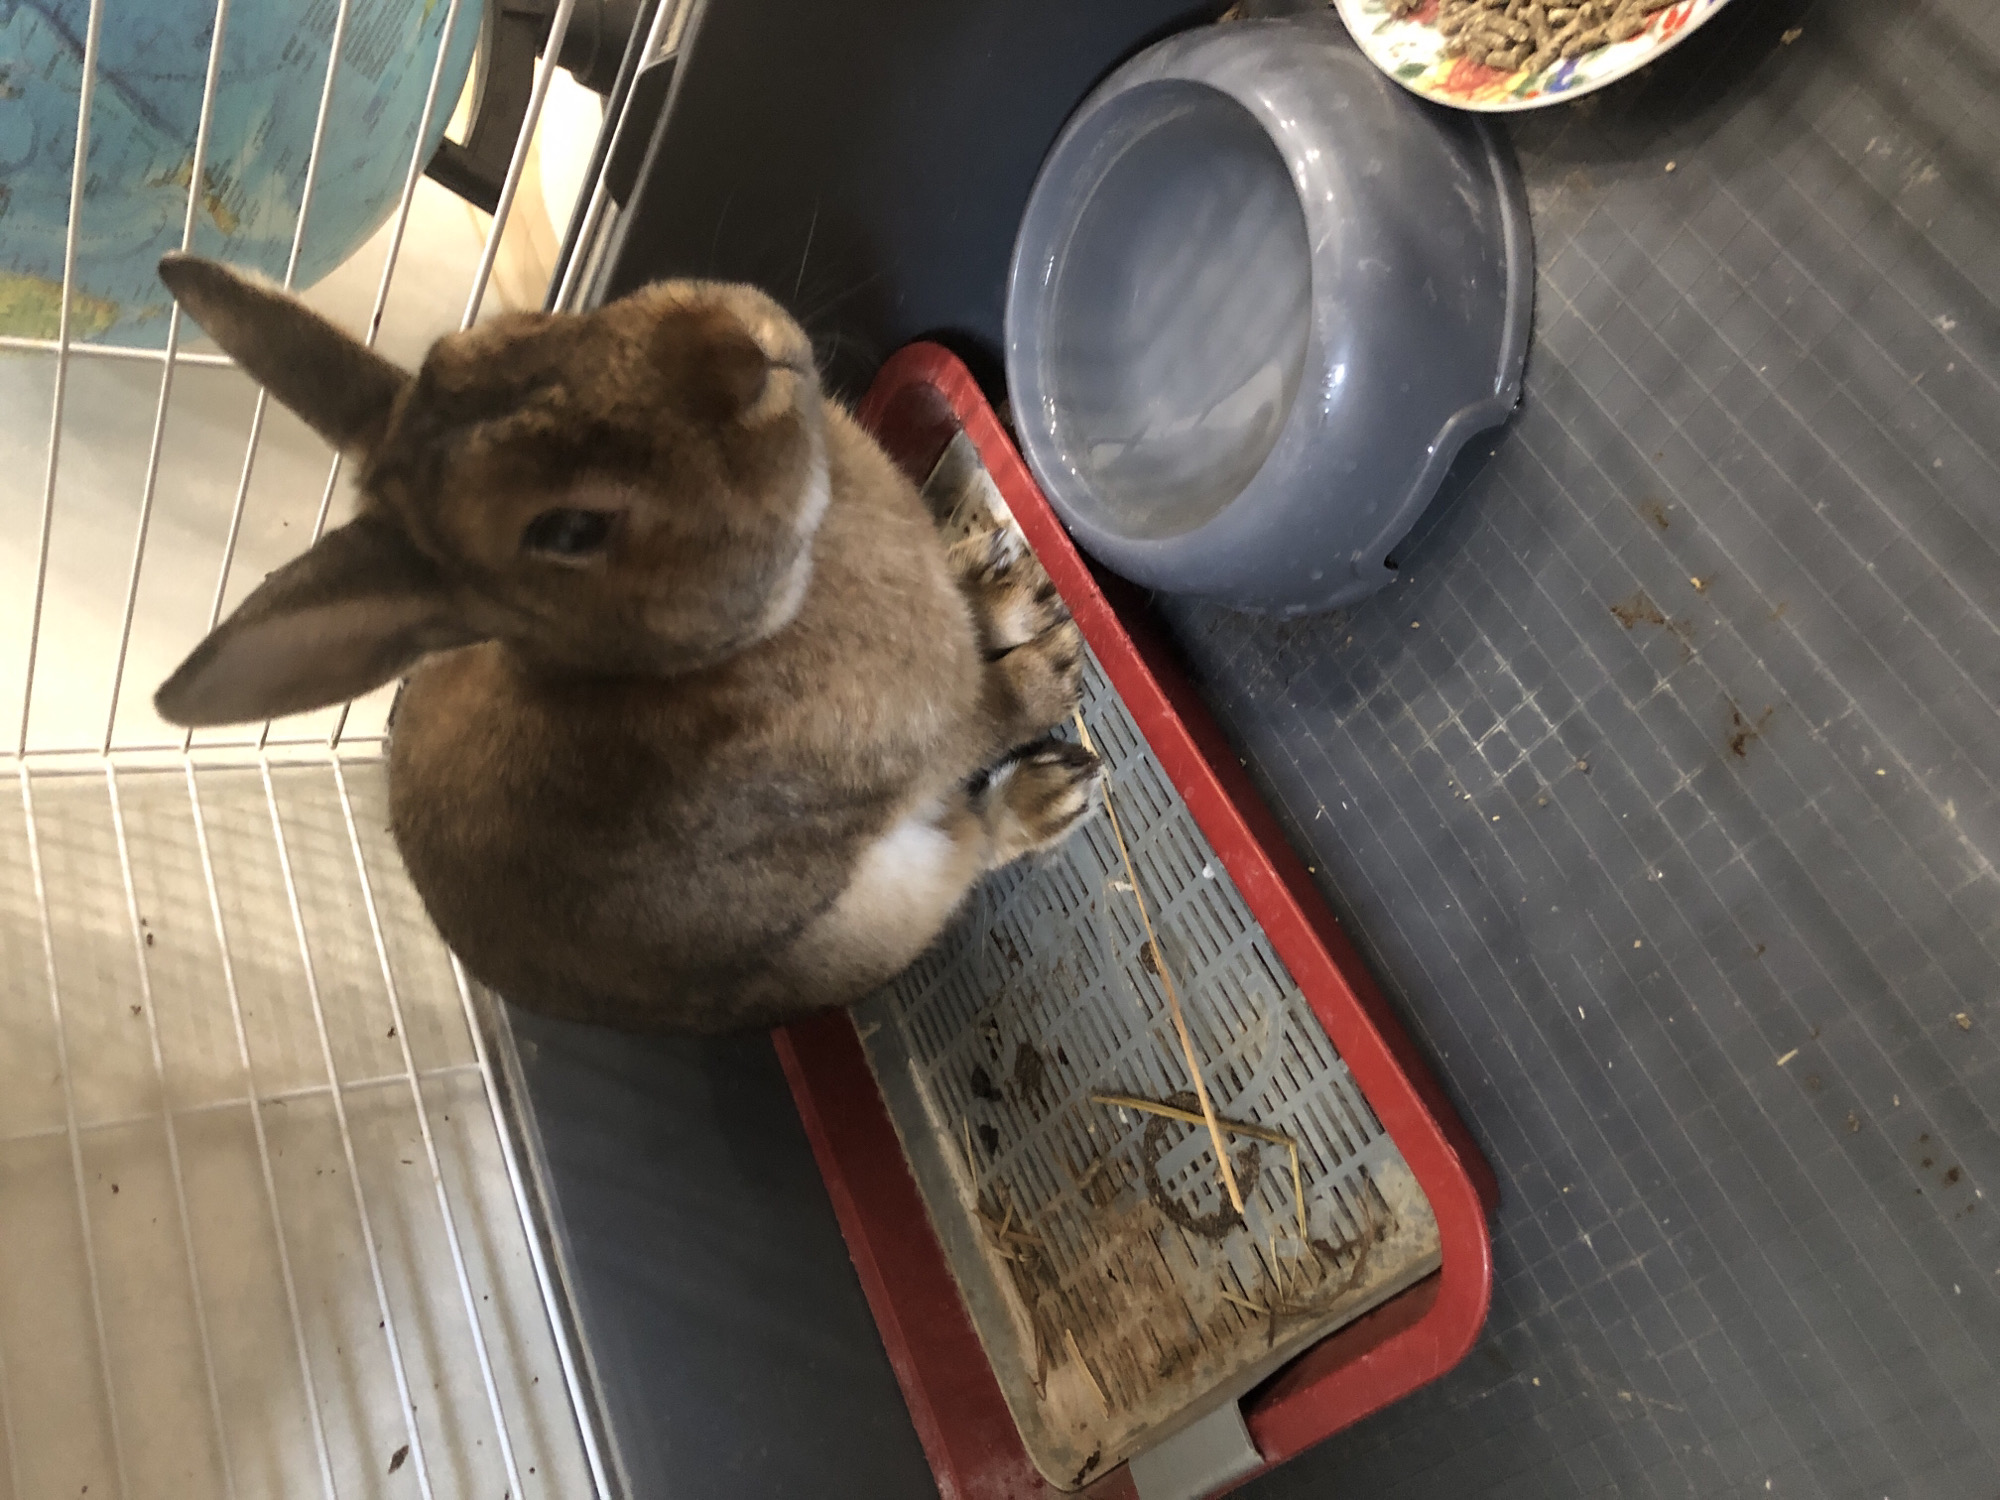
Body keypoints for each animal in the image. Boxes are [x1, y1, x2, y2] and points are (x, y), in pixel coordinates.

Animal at [152, 253, 1097, 1032]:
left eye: (498, 336)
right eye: (569, 531)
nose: (738, 354)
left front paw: (1013, 600)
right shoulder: (923, 745)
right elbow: (990, 714)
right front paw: (1054, 673)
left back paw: (1003, 582)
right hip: (881, 913)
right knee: (971, 843)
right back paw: (1053, 787)